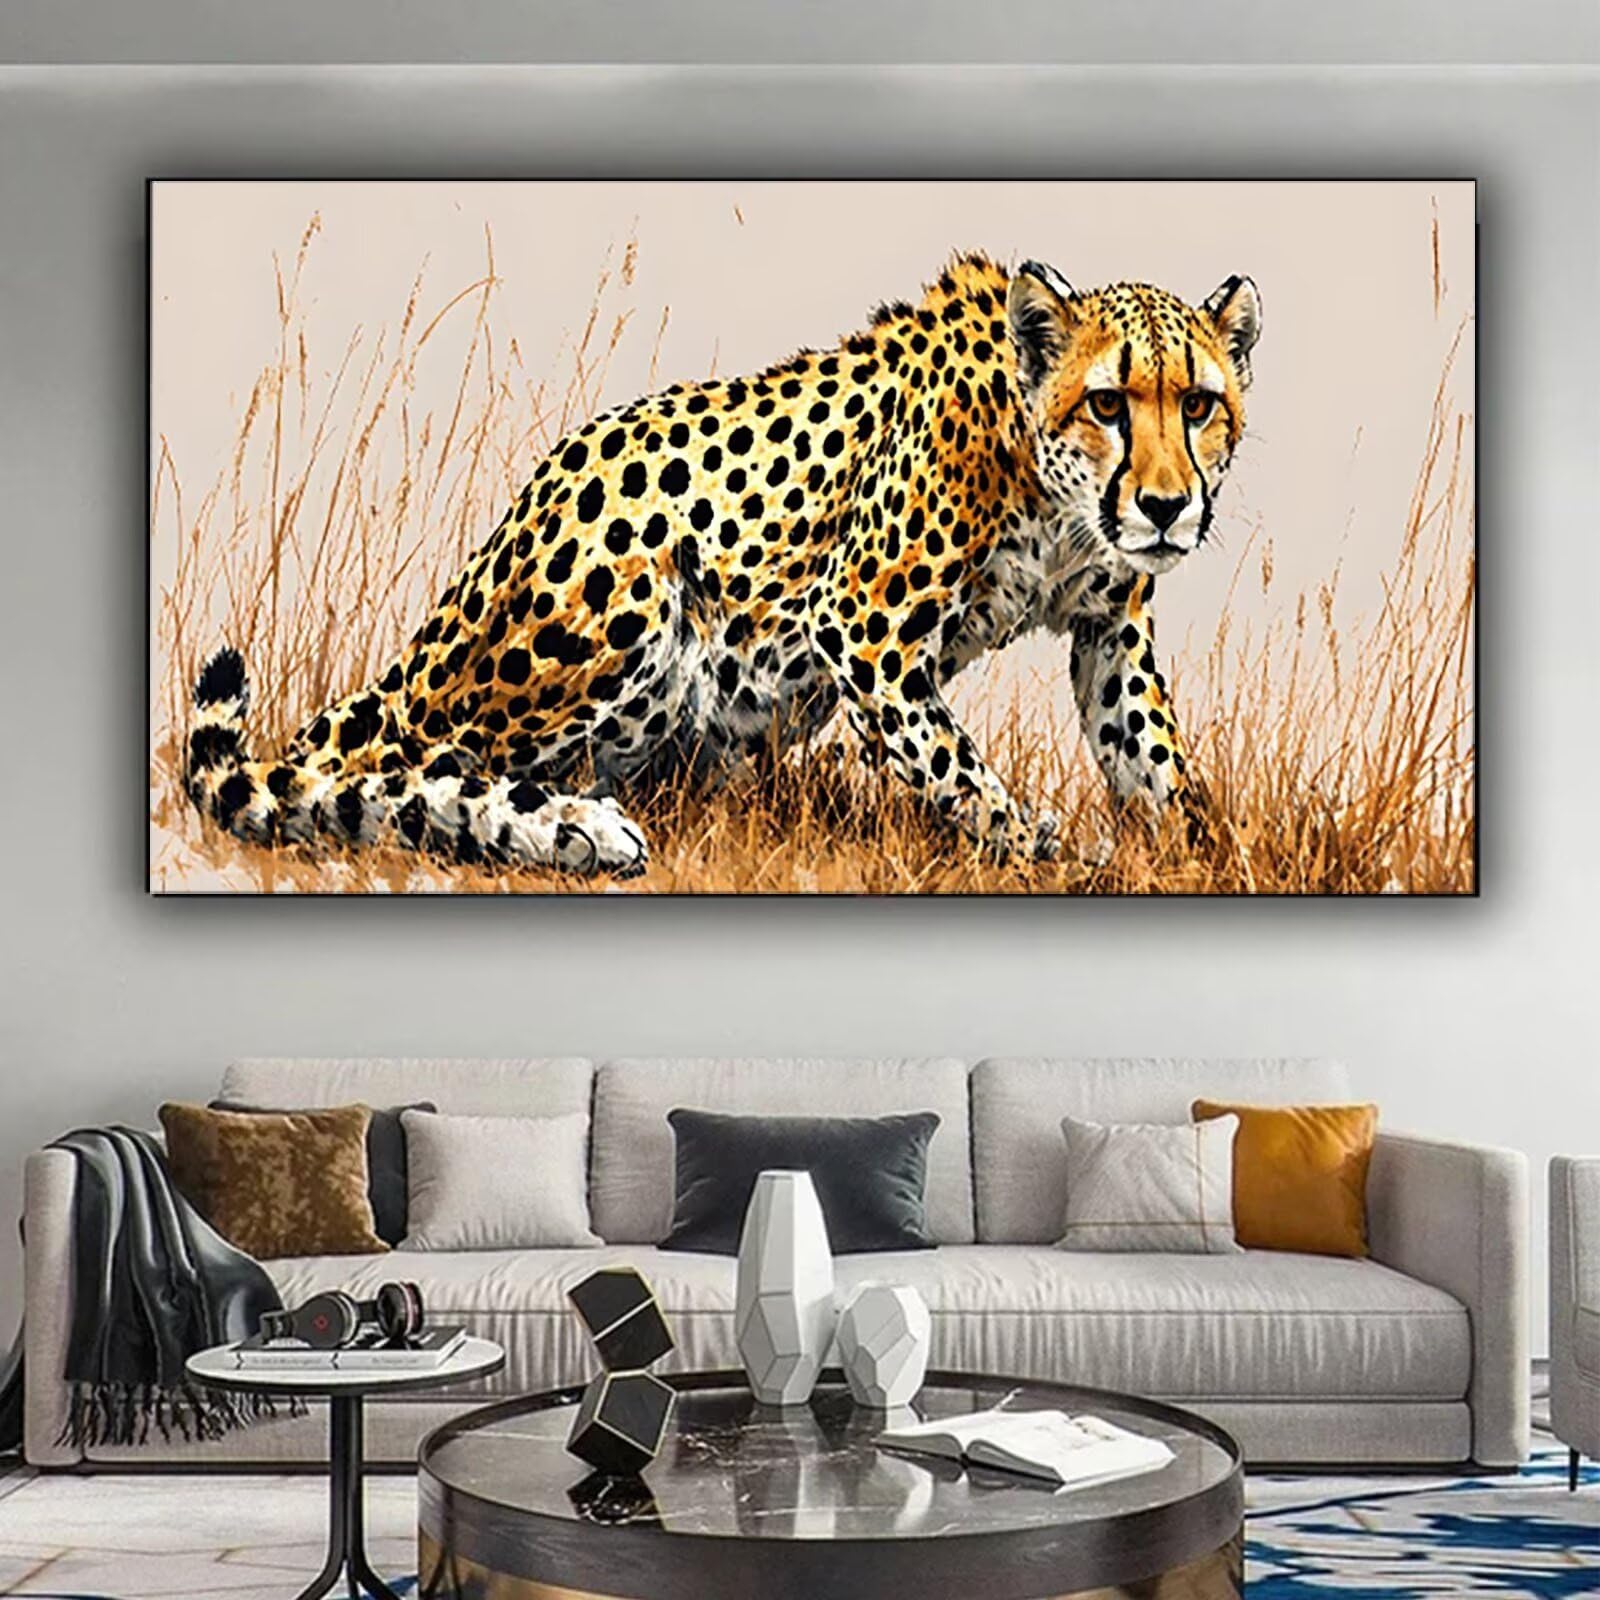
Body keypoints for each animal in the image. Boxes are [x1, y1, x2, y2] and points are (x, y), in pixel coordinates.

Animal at [184, 252, 1261, 878]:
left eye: (1199, 405)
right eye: (1109, 402)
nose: (1166, 507)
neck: (1052, 487)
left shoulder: (1109, 626)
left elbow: (1150, 757)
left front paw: (1202, 854)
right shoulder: (861, 627)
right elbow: (957, 768)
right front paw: (1048, 850)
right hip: (626, 600)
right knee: (368, 768)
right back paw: (562, 828)